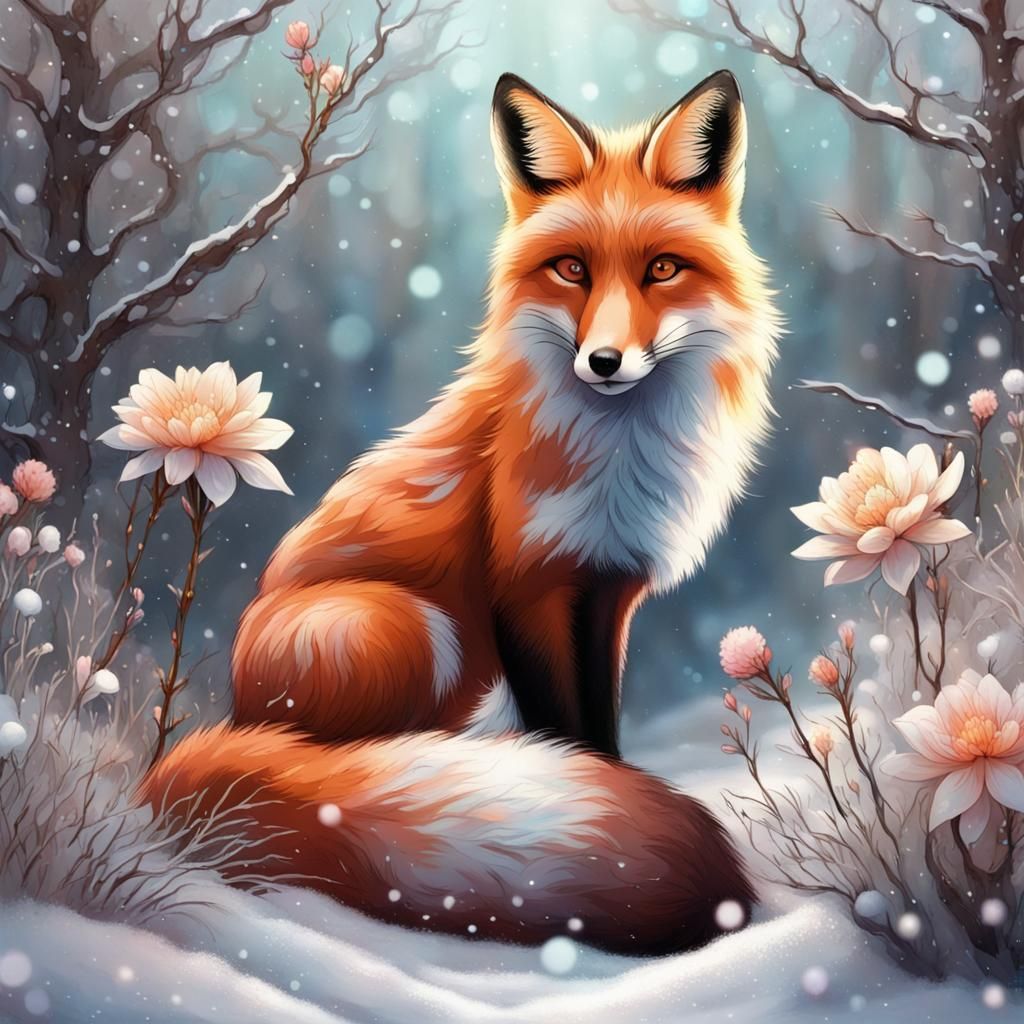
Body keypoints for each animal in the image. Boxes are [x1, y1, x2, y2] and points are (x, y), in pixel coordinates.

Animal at [142, 70, 780, 956]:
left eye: (662, 269)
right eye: (572, 269)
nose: (604, 361)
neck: (618, 456)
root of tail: (233, 720)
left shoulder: (607, 592)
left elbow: (601, 721)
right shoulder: (528, 585)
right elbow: (572, 728)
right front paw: (598, 791)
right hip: (411, 628)